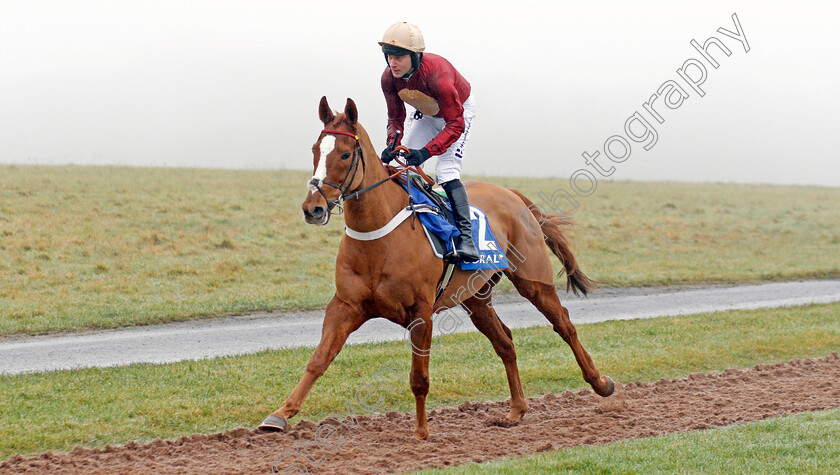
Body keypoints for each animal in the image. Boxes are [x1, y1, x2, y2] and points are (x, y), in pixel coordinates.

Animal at [260, 97, 612, 442]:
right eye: (315, 150)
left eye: (345, 154)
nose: (313, 208)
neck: (378, 237)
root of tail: (511, 194)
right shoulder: (345, 305)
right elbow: (318, 360)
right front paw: (279, 414)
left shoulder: (421, 312)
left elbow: (419, 376)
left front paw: (420, 431)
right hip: (475, 296)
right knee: (505, 342)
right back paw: (516, 410)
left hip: (533, 281)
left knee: (564, 325)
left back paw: (599, 383)